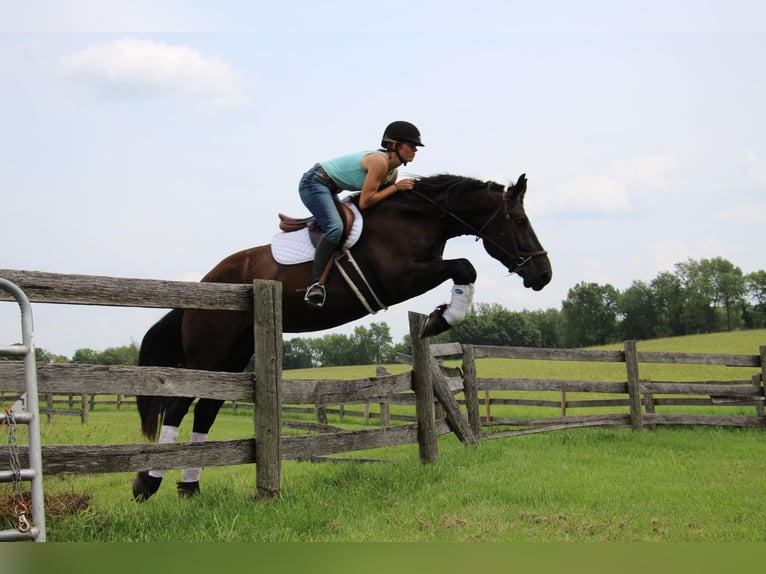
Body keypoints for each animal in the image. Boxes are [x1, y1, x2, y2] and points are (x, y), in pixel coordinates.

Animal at [132, 173, 552, 502]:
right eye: (519, 220)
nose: (543, 274)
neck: (416, 219)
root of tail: (203, 286)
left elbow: (464, 268)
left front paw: (439, 317)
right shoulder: (398, 278)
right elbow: (465, 266)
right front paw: (439, 320)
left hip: (233, 358)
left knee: (205, 410)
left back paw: (189, 487)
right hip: (210, 354)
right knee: (179, 407)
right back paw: (147, 482)